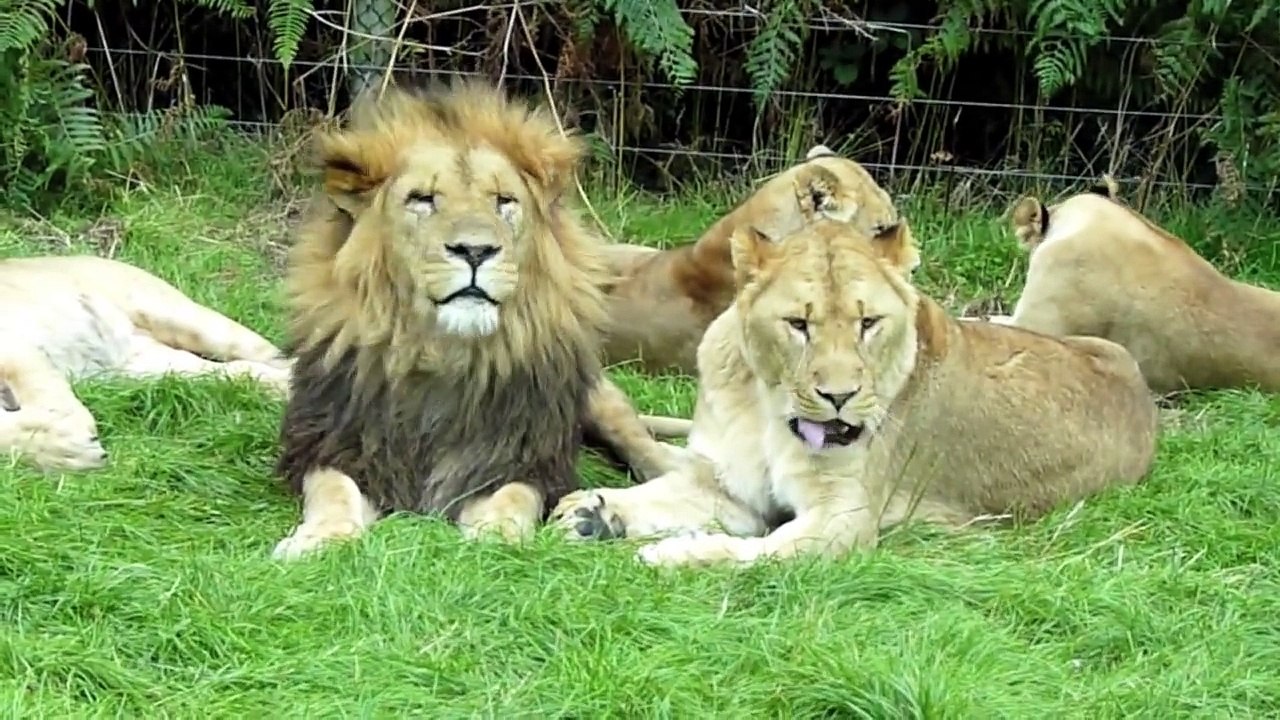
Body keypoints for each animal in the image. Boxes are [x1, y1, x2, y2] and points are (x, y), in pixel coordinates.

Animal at [0, 255, 292, 472]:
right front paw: (72, 453)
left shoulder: (15, 348)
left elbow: (44, 391)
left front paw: (79, 437)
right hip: (143, 368)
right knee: (233, 372)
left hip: (177, 314)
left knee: (272, 356)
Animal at [271, 79, 689, 560]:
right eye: (422, 200)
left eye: (504, 202)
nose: (475, 250)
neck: (440, 357)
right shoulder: (334, 446)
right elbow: (334, 492)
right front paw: (320, 538)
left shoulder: (522, 459)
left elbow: (513, 497)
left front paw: (497, 534)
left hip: (599, 399)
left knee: (646, 446)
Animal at [551, 219, 1159, 568]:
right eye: (799, 324)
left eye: (869, 323)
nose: (839, 397)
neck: (769, 410)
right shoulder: (728, 486)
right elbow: (659, 496)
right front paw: (592, 513)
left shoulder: (845, 518)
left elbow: (762, 553)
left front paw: (678, 552)